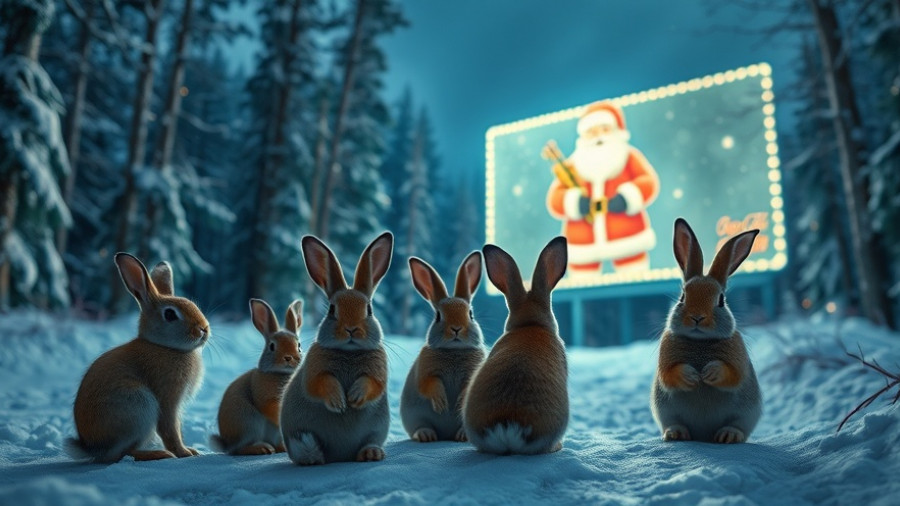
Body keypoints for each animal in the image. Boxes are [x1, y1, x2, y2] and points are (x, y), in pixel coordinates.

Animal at [66, 253, 210, 463]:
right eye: (170, 314)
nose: (203, 329)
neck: (164, 346)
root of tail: (92, 448)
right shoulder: (167, 397)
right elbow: (169, 428)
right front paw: (184, 453)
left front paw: (190, 450)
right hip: (138, 405)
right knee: (120, 454)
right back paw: (158, 454)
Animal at [209, 298, 303, 455]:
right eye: (272, 346)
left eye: (299, 345)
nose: (288, 357)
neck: (280, 373)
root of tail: (227, 445)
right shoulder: (265, 399)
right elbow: (271, 409)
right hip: (249, 423)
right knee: (240, 449)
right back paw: (262, 448)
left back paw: (280, 448)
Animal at [280, 232, 393, 465]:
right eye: (332, 309)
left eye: (369, 309)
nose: (351, 329)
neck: (349, 352)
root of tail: (341, 456)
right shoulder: (314, 373)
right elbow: (322, 383)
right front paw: (340, 403)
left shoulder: (378, 374)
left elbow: (372, 384)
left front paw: (354, 398)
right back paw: (312, 457)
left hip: (378, 429)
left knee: (369, 442)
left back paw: (371, 453)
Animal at [400, 252, 487, 443]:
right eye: (438, 316)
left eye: (470, 314)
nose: (456, 328)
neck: (454, 350)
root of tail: (446, 434)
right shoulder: (426, 371)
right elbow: (429, 384)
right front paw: (442, 404)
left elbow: (467, 387)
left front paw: (459, 404)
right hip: (414, 416)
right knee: (421, 426)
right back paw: (426, 435)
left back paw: (462, 435)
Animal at [650, 217, 762, 444]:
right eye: (683, 297)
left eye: (721, 300)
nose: (697, 317)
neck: (699, 341)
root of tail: (703, 435)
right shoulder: (666, 360)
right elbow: (670, 374)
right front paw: (691, 376)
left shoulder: (738, 361)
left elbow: (732, 374)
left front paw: (709, 372)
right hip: (665, 412)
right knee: (674, 423)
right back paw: (676, 433)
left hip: (747, 413)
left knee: (738, 427)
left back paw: (728, 435)